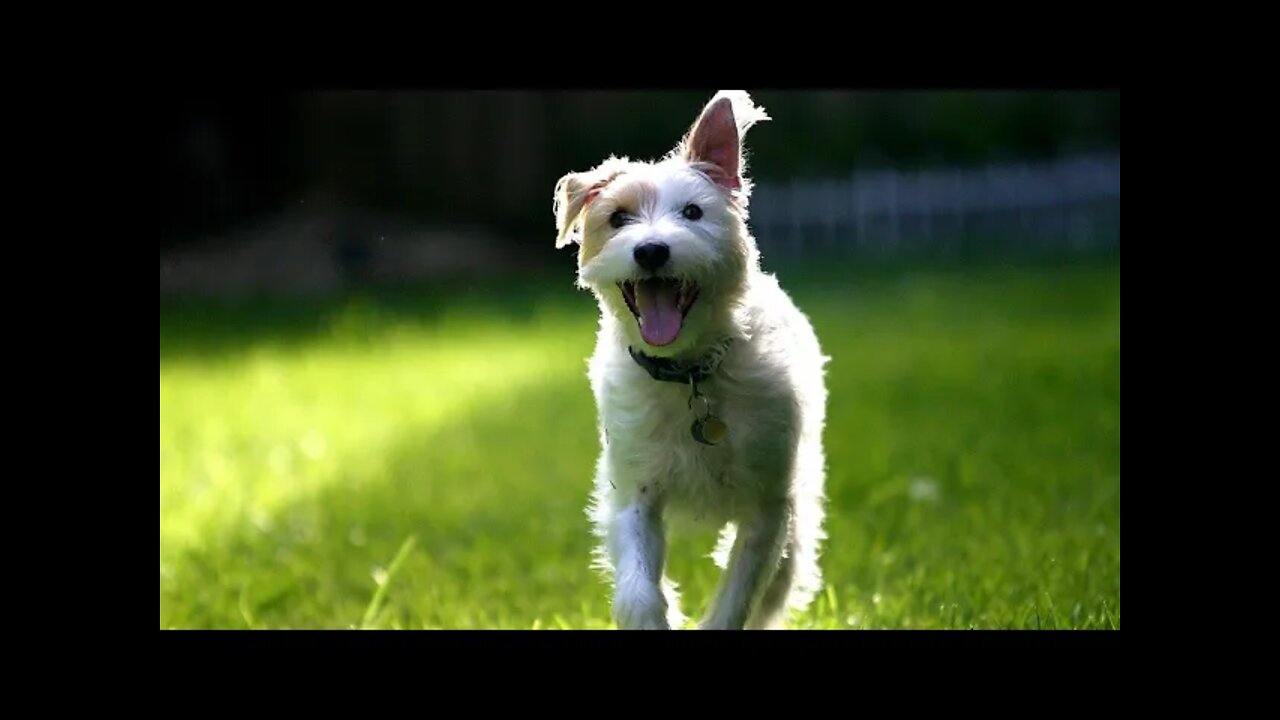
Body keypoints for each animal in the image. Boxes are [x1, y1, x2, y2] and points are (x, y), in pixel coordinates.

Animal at [550, 90, 829, 627]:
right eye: (618, 218)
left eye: (694, 212)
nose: (651, 251)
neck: (690, 374)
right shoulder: (633, 494)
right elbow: (638, 589)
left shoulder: (768, 510)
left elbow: (740, 593)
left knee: (777, 590)